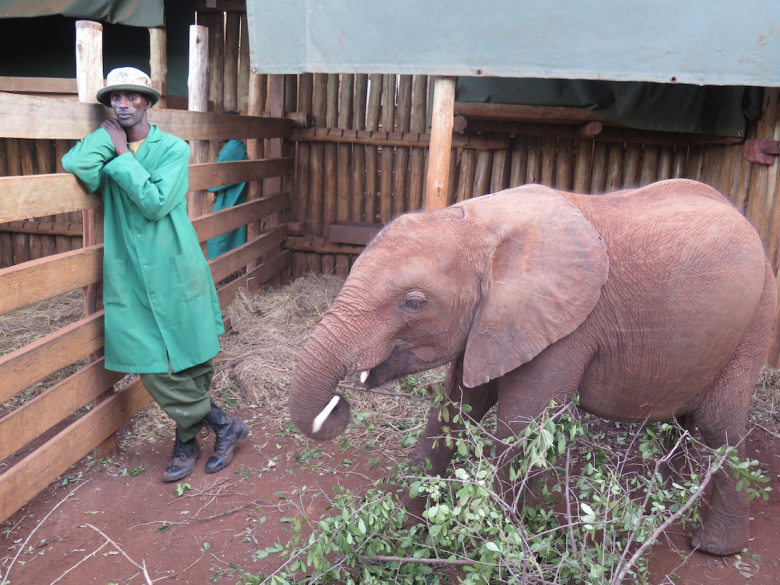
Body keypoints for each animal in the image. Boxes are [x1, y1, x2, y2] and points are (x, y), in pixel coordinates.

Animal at [290, 180, 776, 556]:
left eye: (412, 303)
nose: (338, 403)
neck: (479, 224)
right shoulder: (492, 322)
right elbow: (456, 407)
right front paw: (406, 522)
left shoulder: (568, 327)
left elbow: (518, 426)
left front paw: (490, 549)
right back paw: (664, 503)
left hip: (756, 319)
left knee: (717, 423)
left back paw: (712, 546)